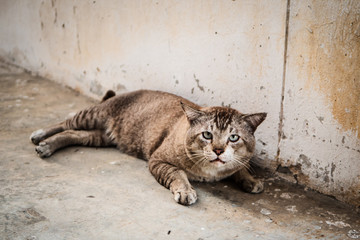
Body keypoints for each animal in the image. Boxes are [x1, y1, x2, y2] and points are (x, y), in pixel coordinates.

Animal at [31, 89, 266, 205]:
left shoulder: (237, 161)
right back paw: (40, 136)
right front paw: (185, 191)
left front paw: (251, 180)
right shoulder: (158, 160)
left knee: (73, 134)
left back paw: (48, 145)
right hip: (92, 115)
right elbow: (178, 174)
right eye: (207, 135)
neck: (211, 171)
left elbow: (240, 168)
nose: (218, 150)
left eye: (233, 138)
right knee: (65, 123)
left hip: (100, 137)